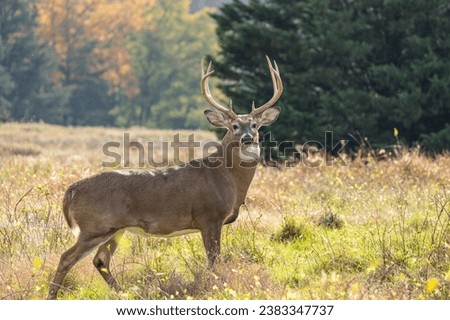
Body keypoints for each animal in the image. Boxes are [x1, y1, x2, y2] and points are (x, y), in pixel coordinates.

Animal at [48, 56, 282, 298]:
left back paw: (125, 293)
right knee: (67, 257)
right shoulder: (209, 216)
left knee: (100, 260)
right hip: (96, 226)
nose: (247, 139)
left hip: (115, 229)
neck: (226, 178)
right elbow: (213, 261)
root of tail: (72, 190)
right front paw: (214, 287)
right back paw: (53, 295)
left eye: (254, 125)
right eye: (234, 126)